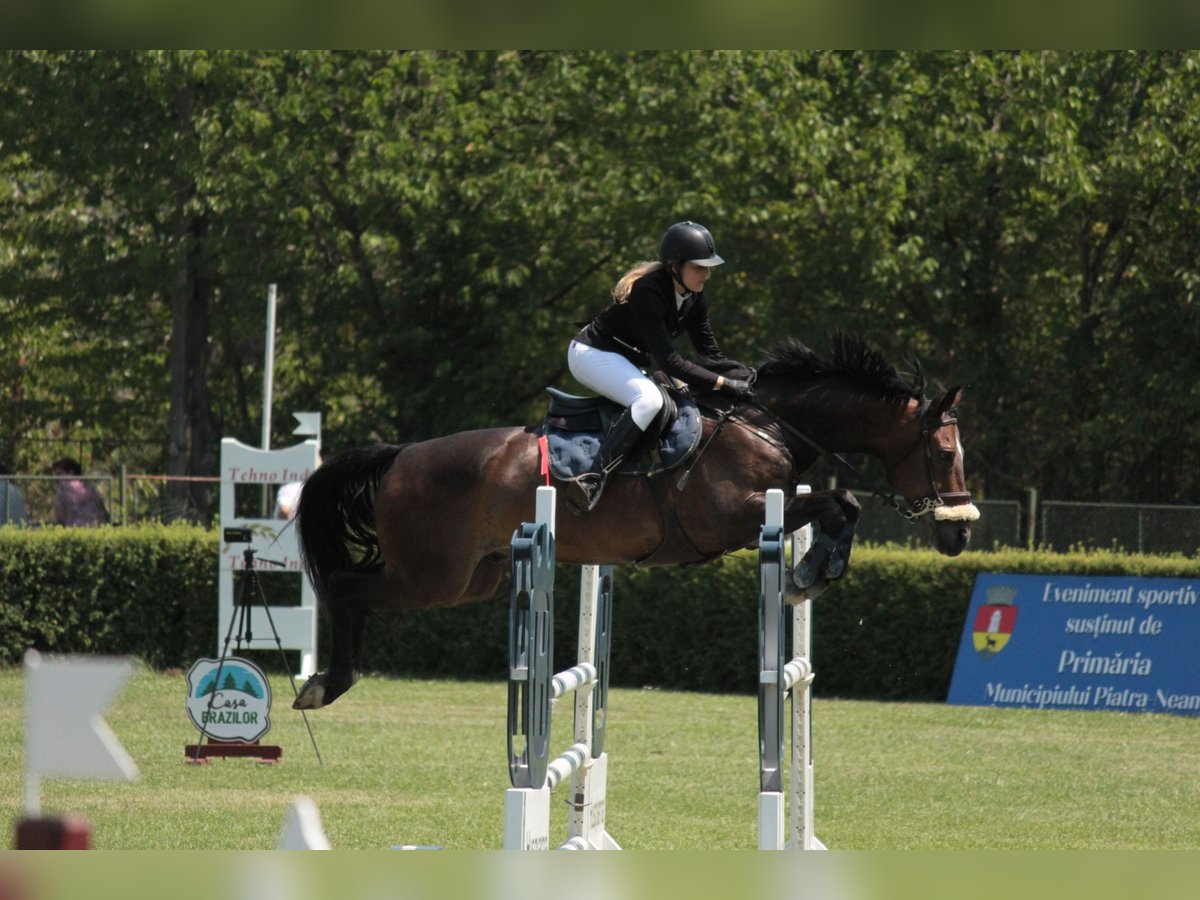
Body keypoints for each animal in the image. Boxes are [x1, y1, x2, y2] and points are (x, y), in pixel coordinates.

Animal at [290, 333, 974, 710]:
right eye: (945, 454)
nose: (960, 532)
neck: (769, 423)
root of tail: (400, 455)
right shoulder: (733, 518)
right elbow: (840, 503)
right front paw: (810, 572)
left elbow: (842, 506)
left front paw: (812, 572)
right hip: (432, 575)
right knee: (347, 587)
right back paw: (325, 684)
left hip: (470, 579)